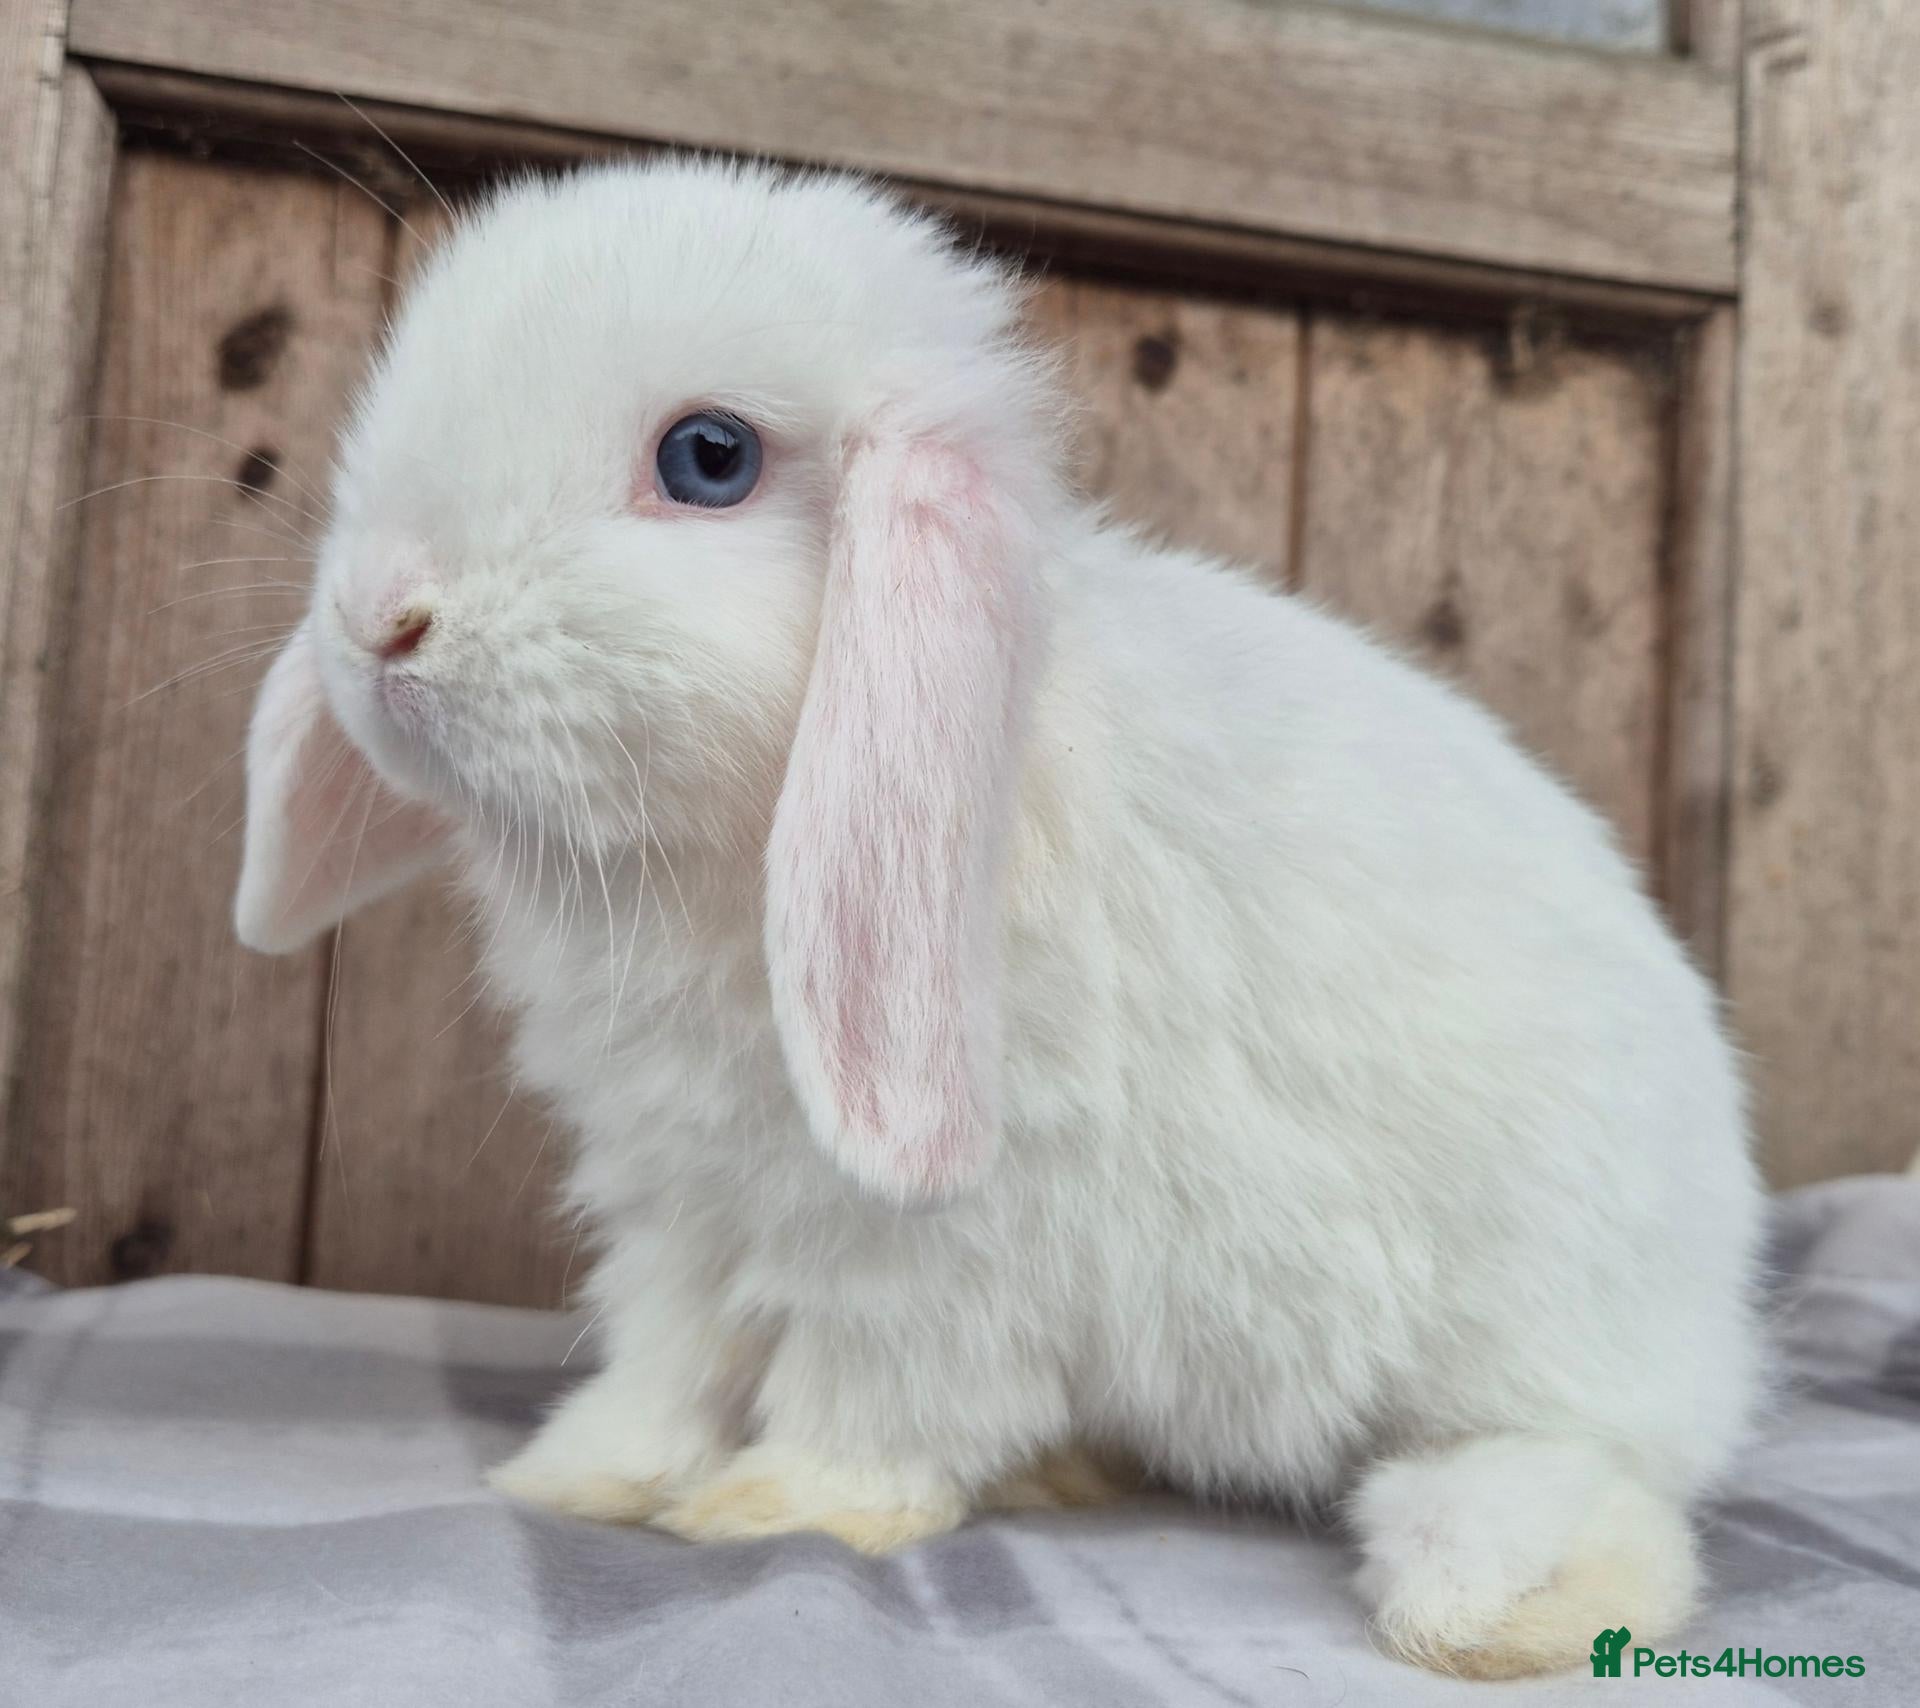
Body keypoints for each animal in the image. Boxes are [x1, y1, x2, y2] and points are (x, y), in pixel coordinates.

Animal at [234, 157, 1764, 1678]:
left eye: (708, 458)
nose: (379, 619)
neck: (725, 856)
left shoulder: (937, 1250)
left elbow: (876, 1391)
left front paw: (778, 1507)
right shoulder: (683, 1209)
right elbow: (666, 1363)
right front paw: (580, 1478)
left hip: (1542, 1343)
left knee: (1584, 1474)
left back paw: (1496, 1602)